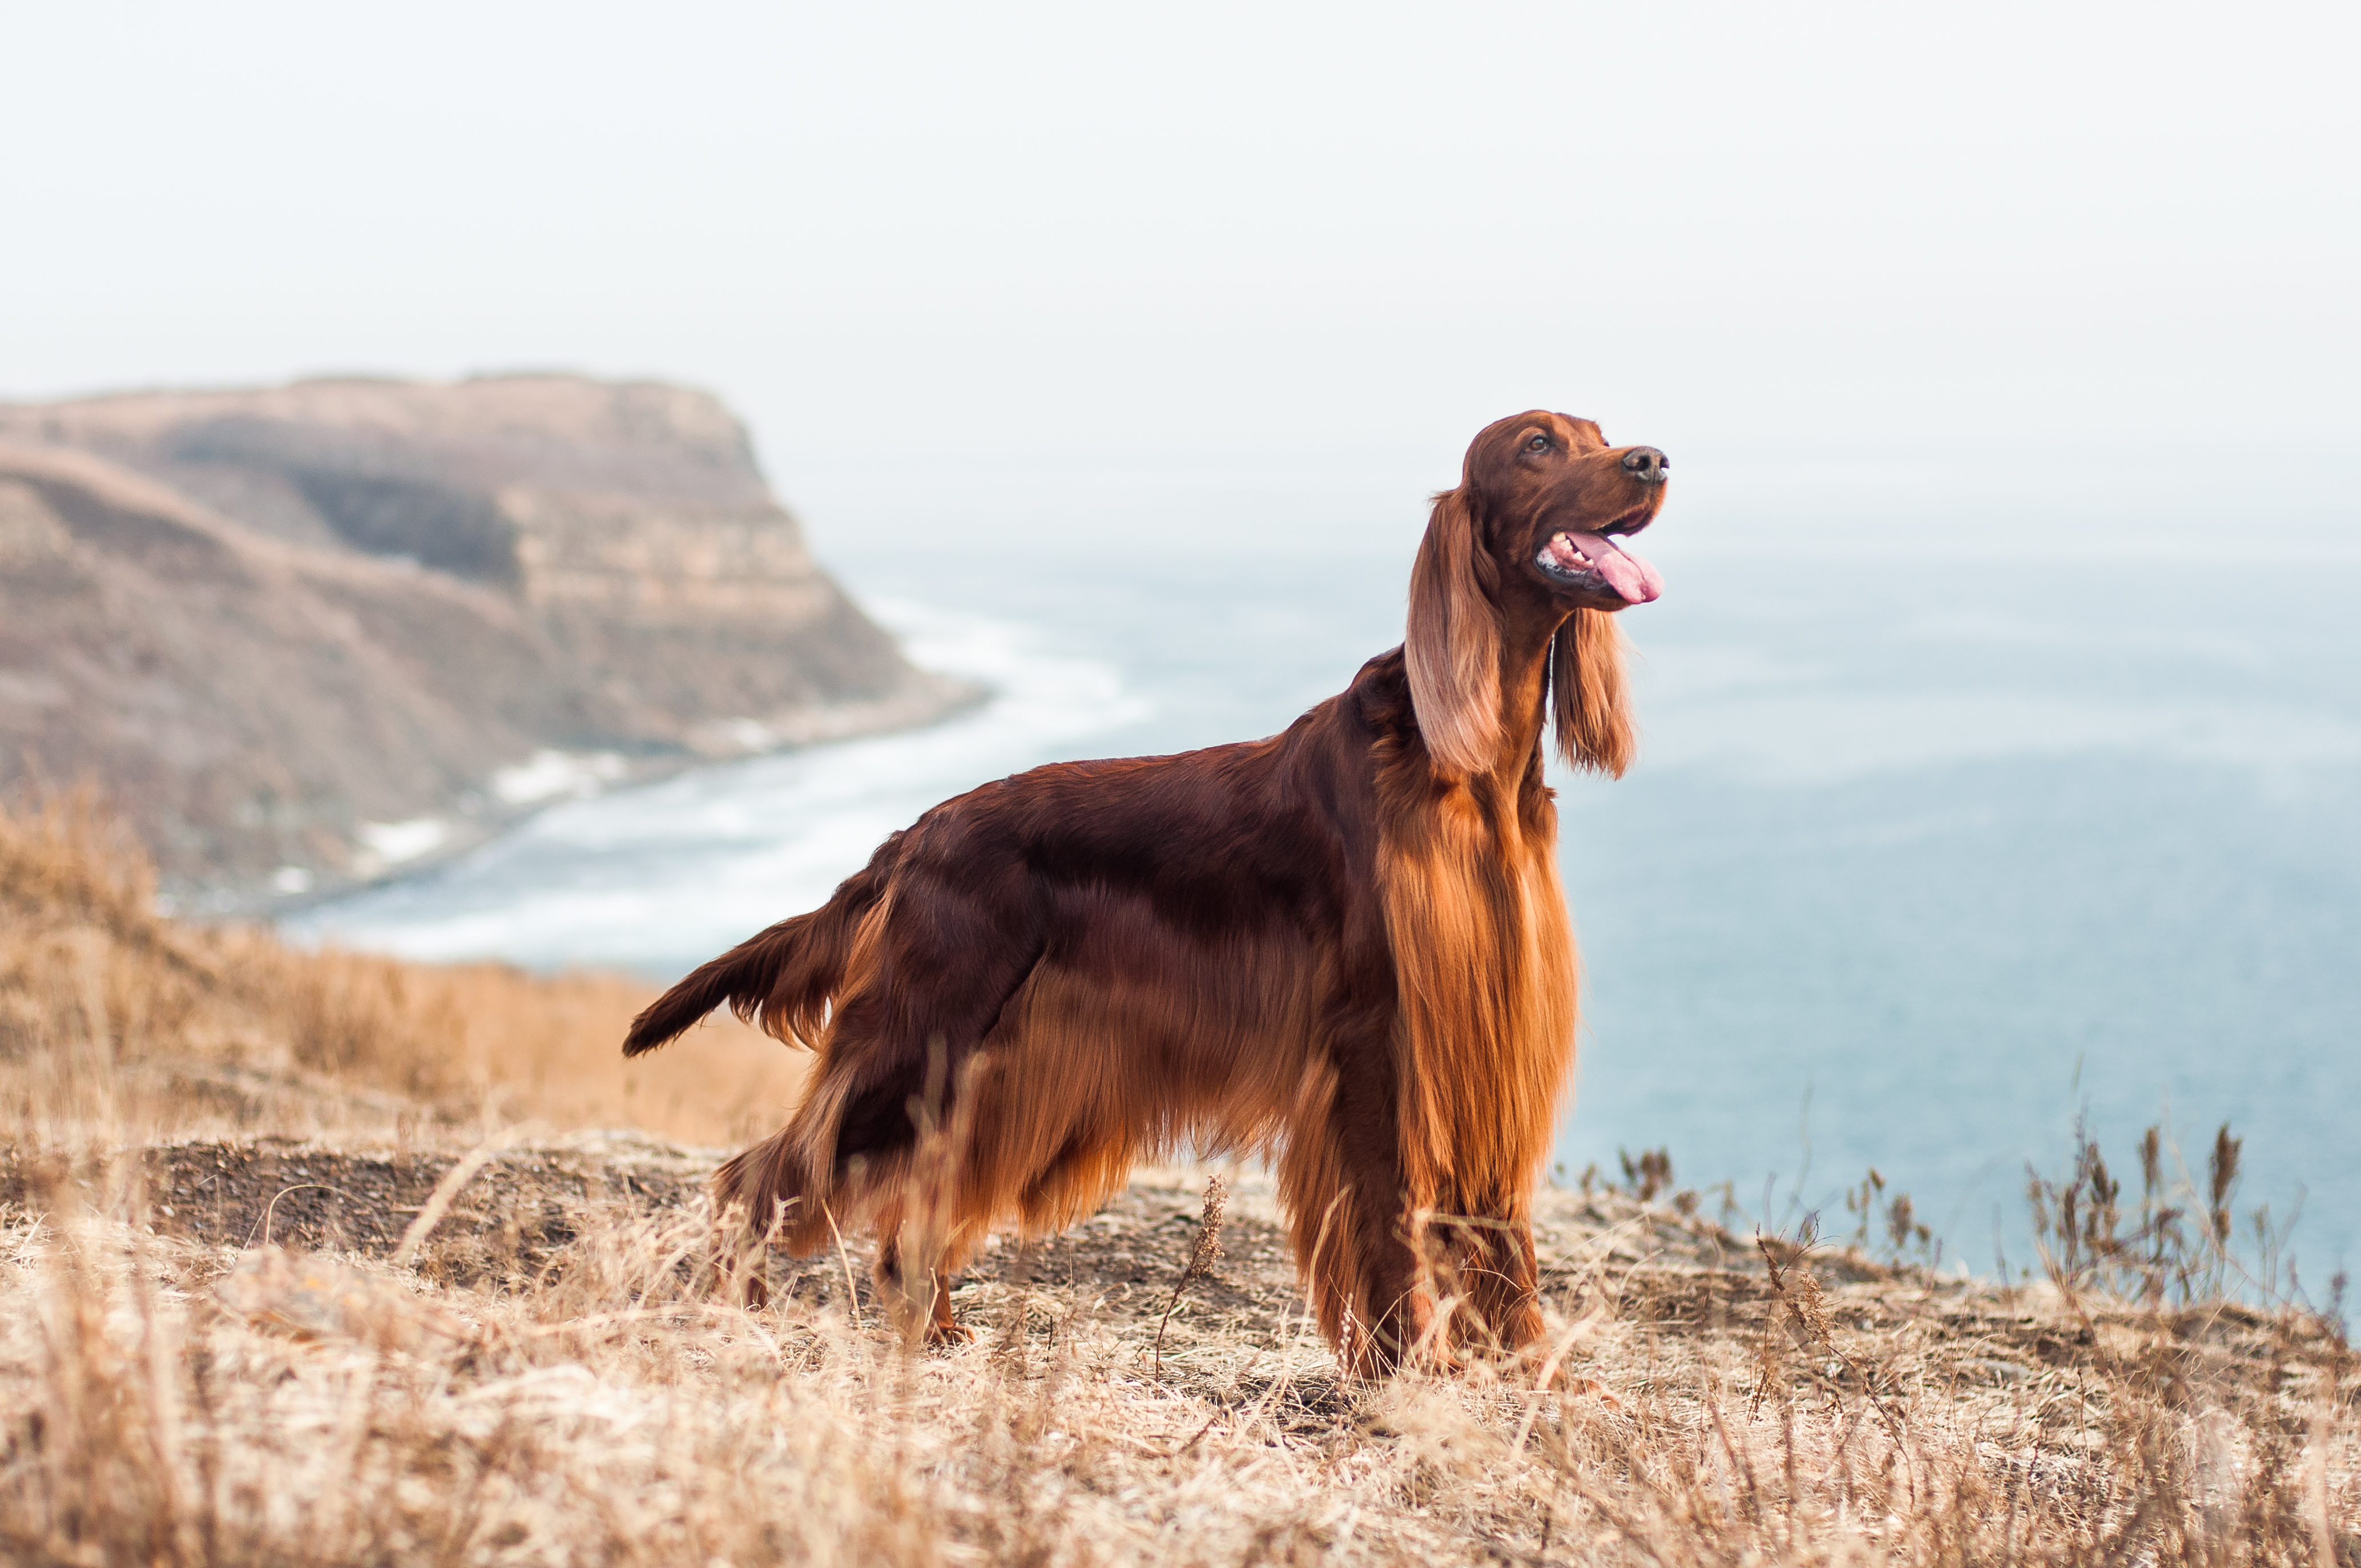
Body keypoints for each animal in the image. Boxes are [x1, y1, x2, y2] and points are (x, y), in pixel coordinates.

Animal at [618, 413, 1671, 1369]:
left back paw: (937, 1326)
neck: (1467, 765)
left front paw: (1524, 1366)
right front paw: (1409, 1364)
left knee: (917, 1195)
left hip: (984, 1071)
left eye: (1599, 431)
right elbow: (1391, 1215)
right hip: (915, 1037)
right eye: (1538, 444)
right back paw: (737, 1309)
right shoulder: (1381, 1033)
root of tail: (920, 833)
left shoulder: (1491, 1018)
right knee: (759, 1174)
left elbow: (1499, 1223)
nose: (1653, 460)